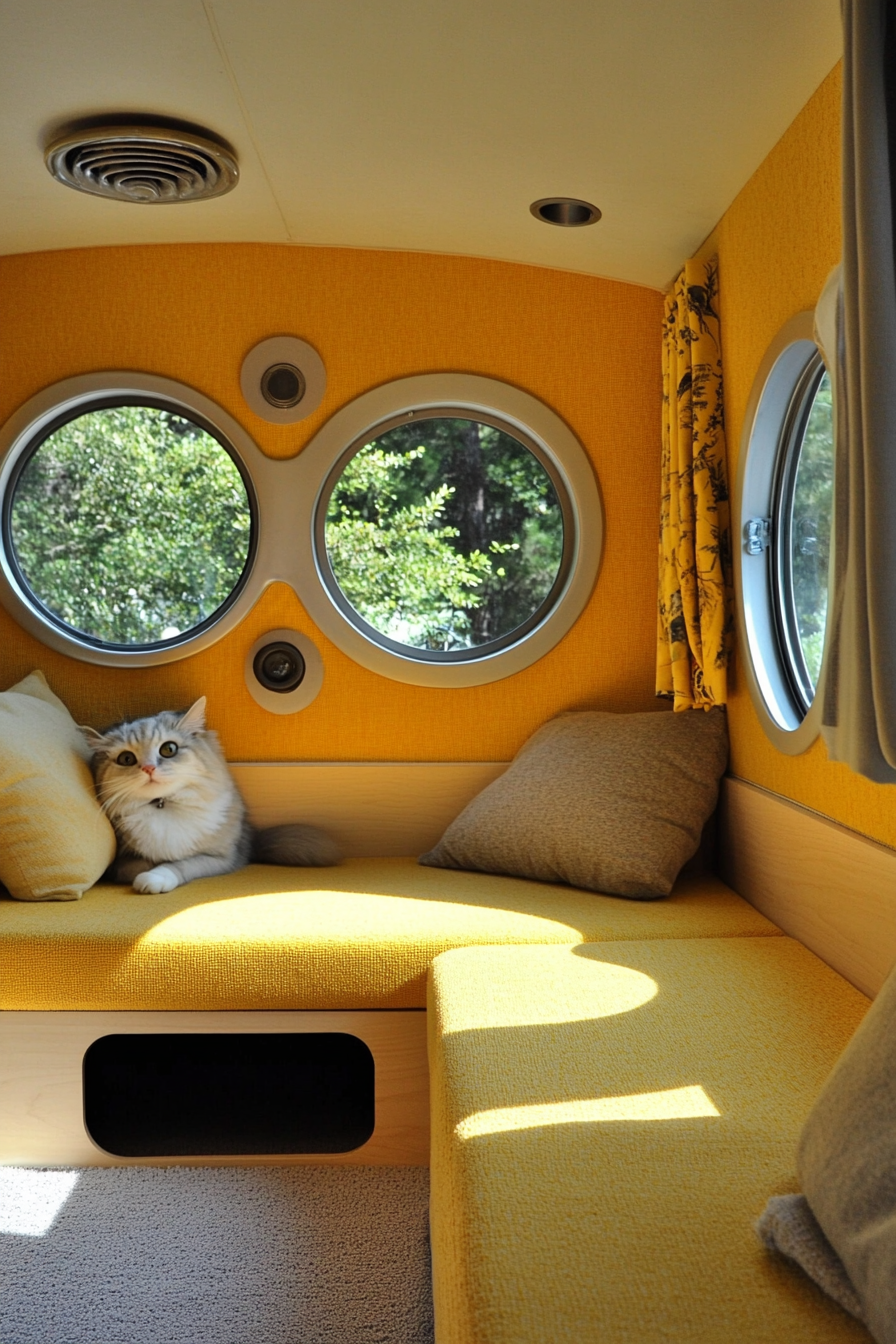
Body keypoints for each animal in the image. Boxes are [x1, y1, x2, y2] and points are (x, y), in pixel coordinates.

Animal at [82, 693, 341, 892]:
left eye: (168, 749)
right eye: (126, 759)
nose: (148, 768)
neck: (163, 804)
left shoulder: (220, 859)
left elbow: (179, 865)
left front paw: (155, 878)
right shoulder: (122, 862)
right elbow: (137, 865)